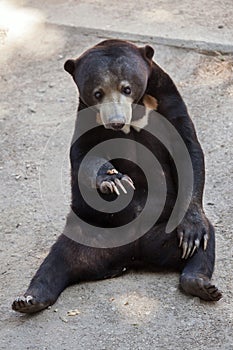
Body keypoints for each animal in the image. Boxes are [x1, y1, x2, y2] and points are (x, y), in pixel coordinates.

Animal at [11, 39, 221, 314]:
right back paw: (29, 299)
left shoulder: (169, 105)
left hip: (165, 229)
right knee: (58, 259)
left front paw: (192, 231)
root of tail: (133, 255)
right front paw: (114, 180)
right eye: (97, 93)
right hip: (88, 232)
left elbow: (188, 152)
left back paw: (200, 281)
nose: (116, 122)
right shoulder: (87, 119)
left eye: (127, 88)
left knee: (205, 244)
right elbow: (84, 155)